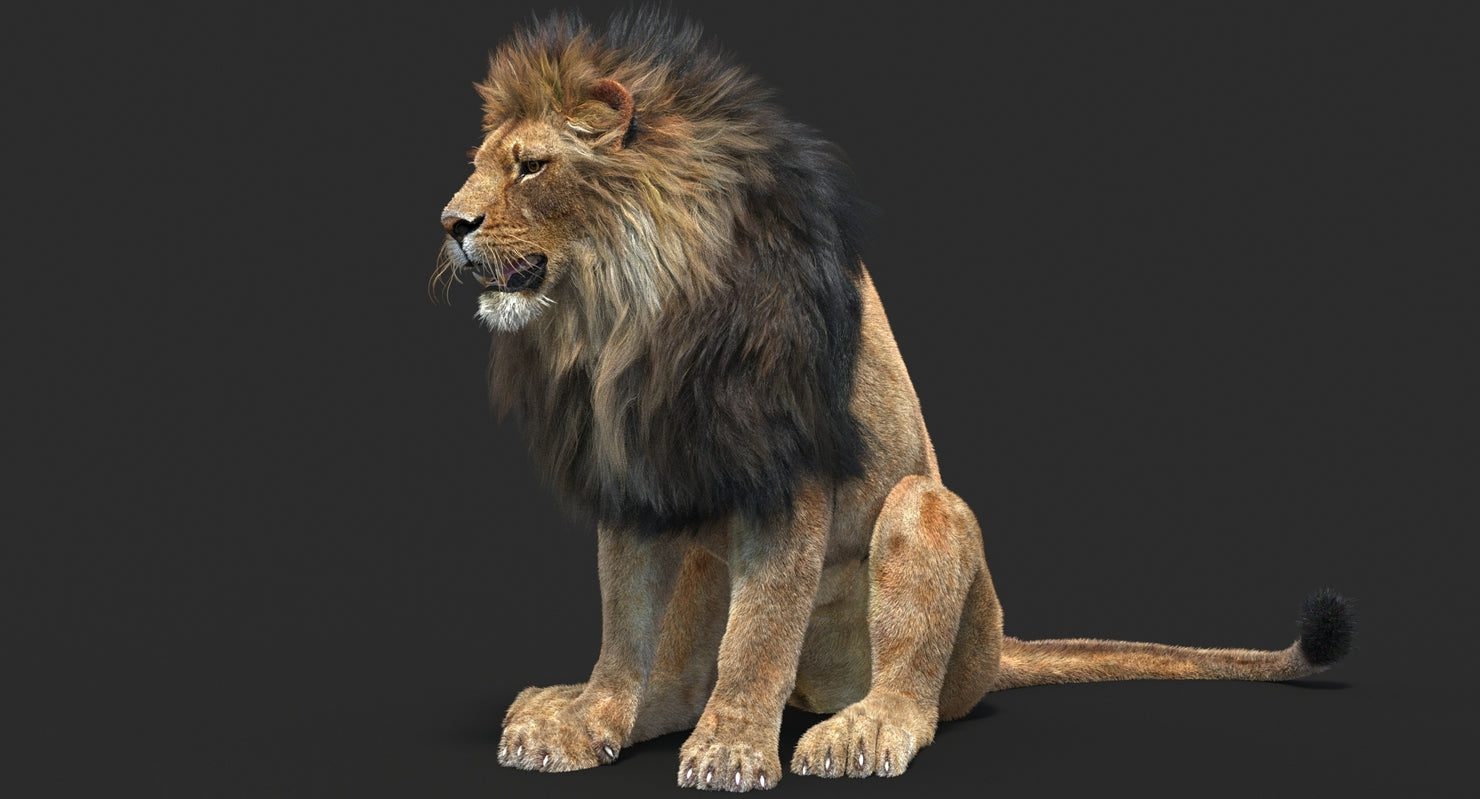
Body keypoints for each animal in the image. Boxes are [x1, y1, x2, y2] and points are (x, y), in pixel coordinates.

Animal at [433, 8, 1354, 791]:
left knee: (914, 686)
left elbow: (760, 632)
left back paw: (861, 729)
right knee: (683, 669)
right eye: (479, 163)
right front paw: (586, 719)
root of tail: (1001, 645)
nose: (450, 223)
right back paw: (566, 705)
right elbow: (625, 625)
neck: (632, 315)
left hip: (925, 518)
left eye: (531, 165)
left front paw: (731, 749)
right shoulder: (637, 476)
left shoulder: (791, 471)